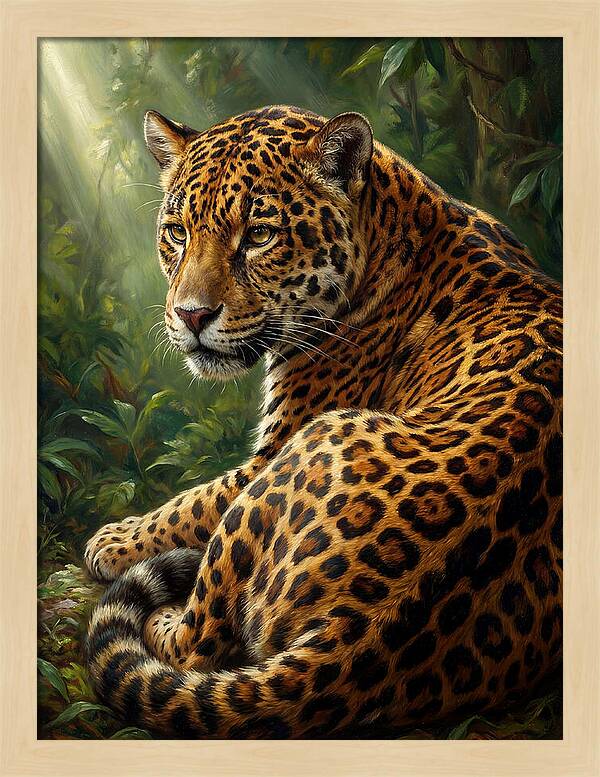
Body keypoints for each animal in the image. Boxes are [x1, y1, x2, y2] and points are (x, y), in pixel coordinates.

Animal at [84, 105, 562, 739]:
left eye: (259, 235)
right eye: (178, 231)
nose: (191, 315)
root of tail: (356, 637)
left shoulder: (274, 448)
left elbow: (193, 502)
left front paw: (114, 540)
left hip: (306, 448)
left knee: (196, 645)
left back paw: (163, 610)